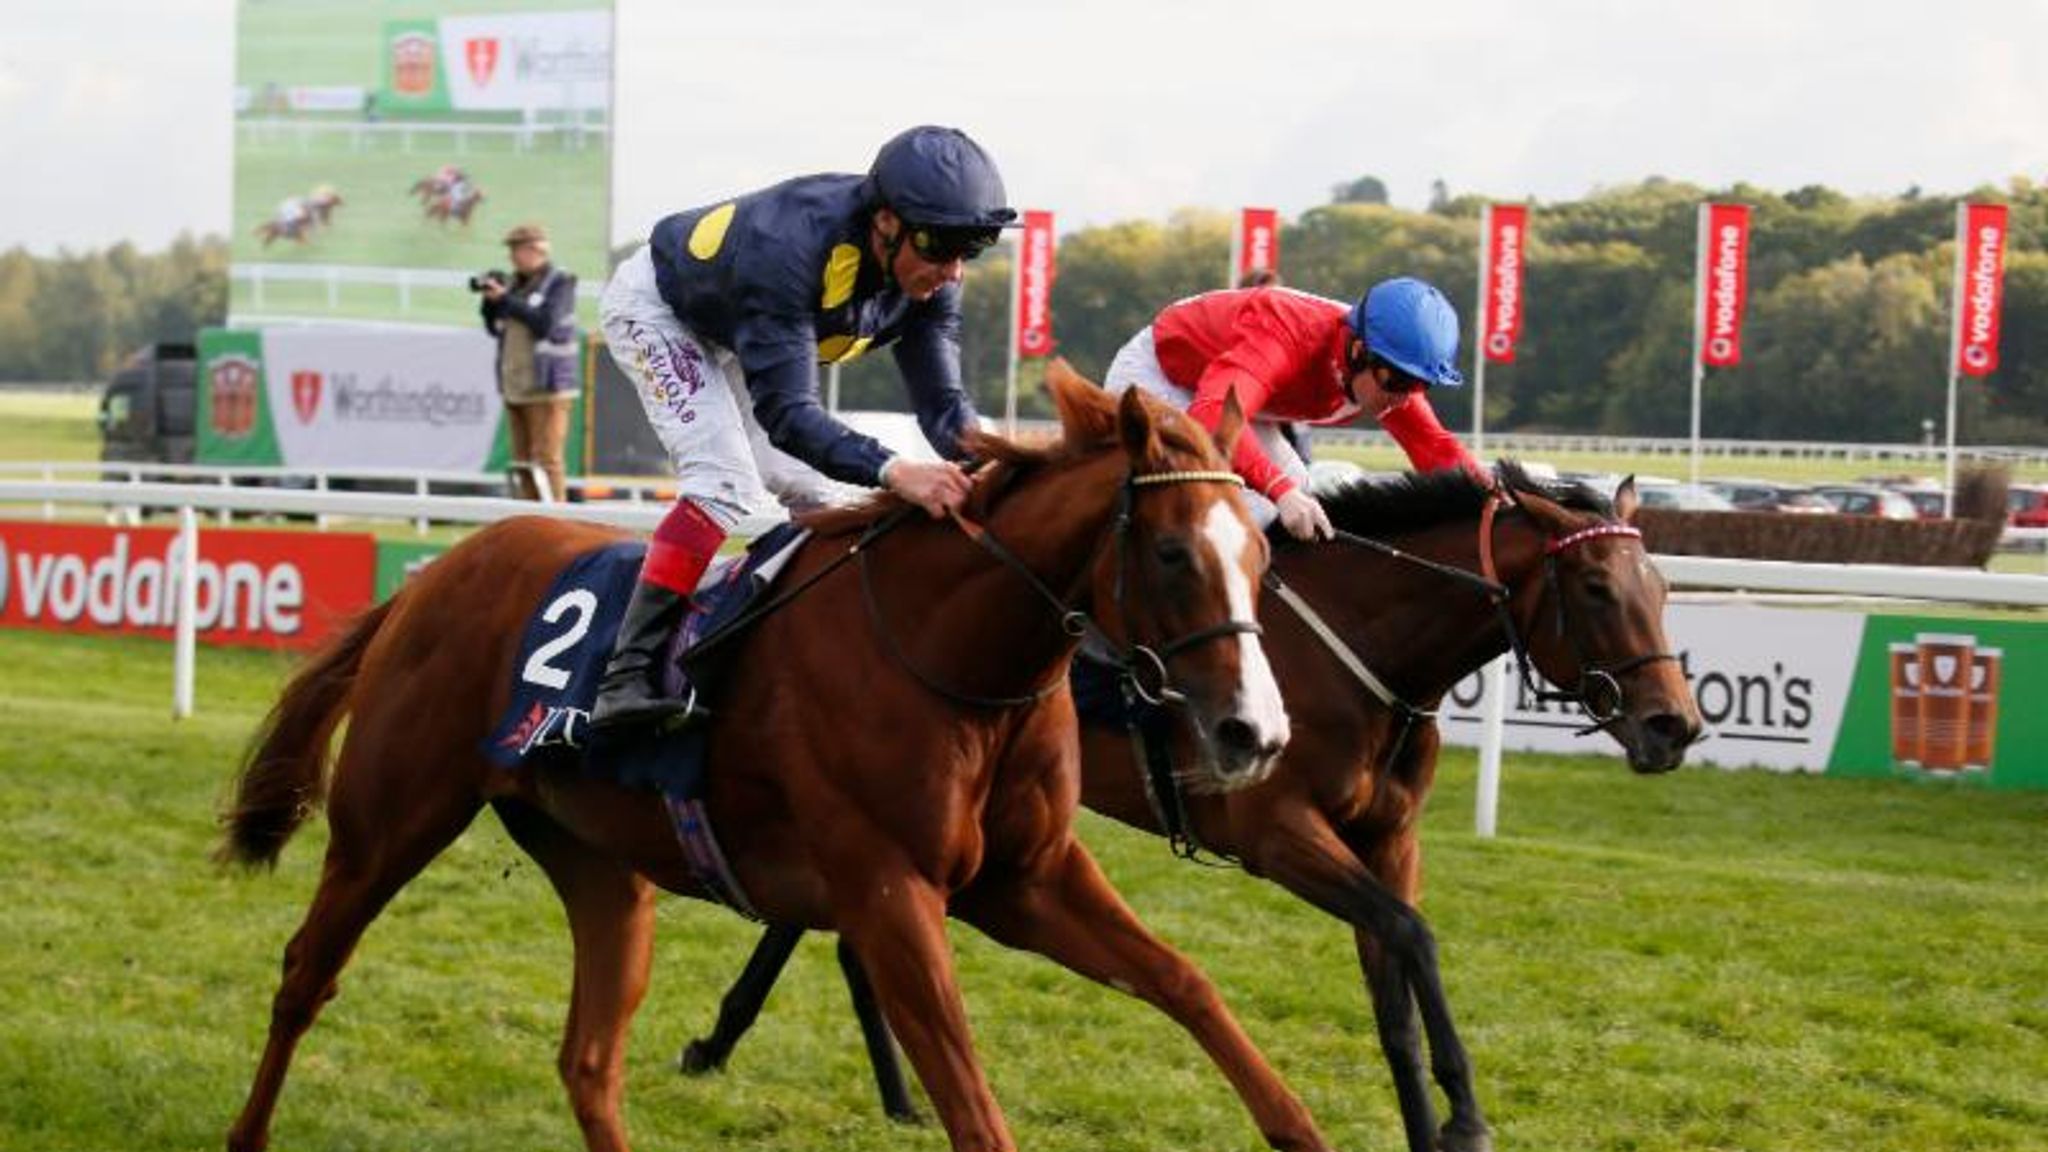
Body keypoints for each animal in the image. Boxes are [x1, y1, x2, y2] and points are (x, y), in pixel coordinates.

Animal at [216, 364, 1343, 1147]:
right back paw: (250, 1124)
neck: (953, 659)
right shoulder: (890, 894)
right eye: (1171, 553)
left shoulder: (1028, 881)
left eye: (1260, 551)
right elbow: (972, 1106)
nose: (1254, 732)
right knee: (305, 975)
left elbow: (1188, 985)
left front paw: (1299, 1124)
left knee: (588, 1057)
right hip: (391, 820)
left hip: (598, 865)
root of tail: (434, 575)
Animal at [667, 459, 1695, 1147]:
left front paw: (1427, 1125)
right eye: (1595, 587)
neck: (1362, 648)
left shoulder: (1388, 838)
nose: (1675, 724)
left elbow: (1395, 989)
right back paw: (735, 1045)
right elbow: (1412, 936)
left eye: (1661, 585)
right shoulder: (1280, 834)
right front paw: (1466, 1121)